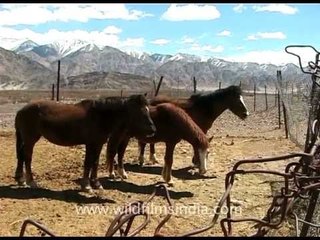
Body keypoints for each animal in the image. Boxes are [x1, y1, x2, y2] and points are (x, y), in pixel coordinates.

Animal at [14, 94, 156, 191]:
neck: (100, 116)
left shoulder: (98, 143)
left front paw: (96, 183)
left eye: (148, 110)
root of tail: (21, 110)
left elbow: (95, 162)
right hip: (30, 139)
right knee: (27, 157)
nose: (153, 130)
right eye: (140, 112)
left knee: (21, 156)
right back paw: (31, 182)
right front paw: (87, 185)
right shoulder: (90, 144)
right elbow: (88, 162)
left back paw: (20, 180)